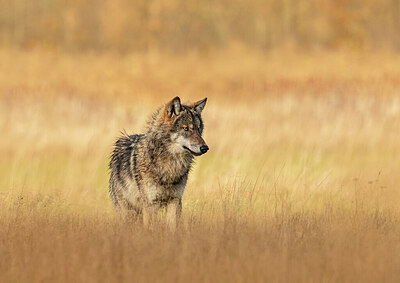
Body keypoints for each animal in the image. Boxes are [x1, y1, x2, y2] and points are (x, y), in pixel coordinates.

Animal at [109, 97, 209, 229]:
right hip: (126, 211)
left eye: (198, 129)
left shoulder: (175, 201)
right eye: (186, 129)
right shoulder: (151, 204)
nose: (205, 148)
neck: (170, 167)